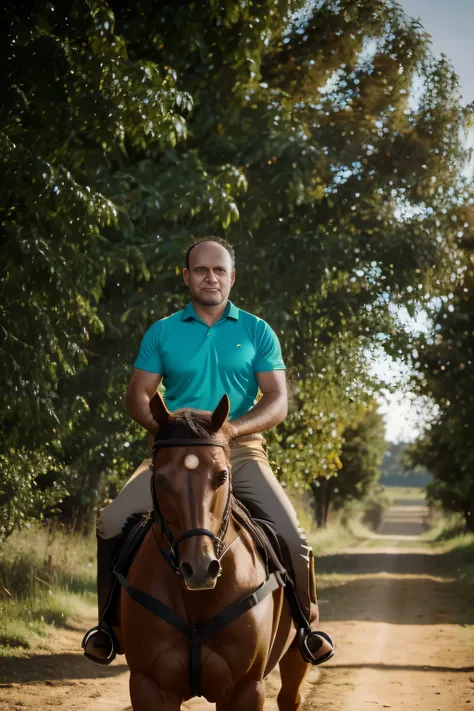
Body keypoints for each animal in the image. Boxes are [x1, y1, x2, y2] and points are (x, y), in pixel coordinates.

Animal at [115, 392, 312, 708]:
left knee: (289, 697)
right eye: (161, 479)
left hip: (296, 652)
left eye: (221, 476)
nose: (199, 569)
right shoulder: (150, 686)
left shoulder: (246, 689)